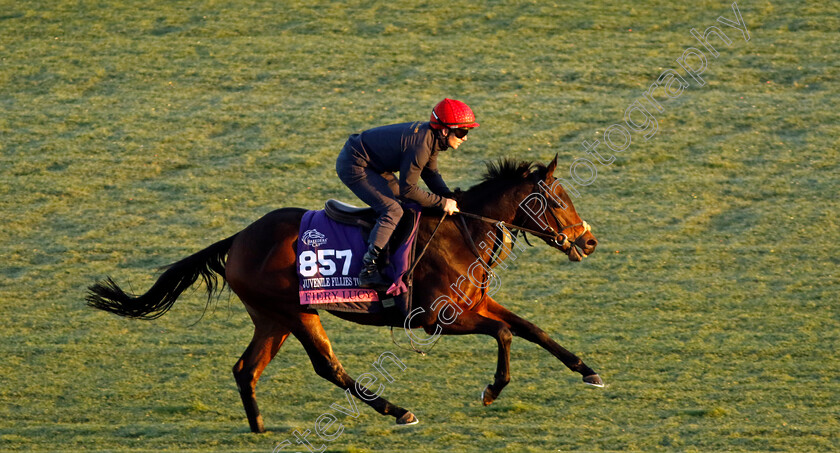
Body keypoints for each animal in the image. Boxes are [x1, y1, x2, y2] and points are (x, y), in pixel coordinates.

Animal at [87, 154, 604, 430]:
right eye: (558, 200)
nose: (588, 241)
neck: (461, 232)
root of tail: (238, 239)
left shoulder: (473, 302)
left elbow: (532, 329)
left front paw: (589, 371)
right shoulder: (437, 318)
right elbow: (505, 334)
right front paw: (492, 389)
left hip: (272, 317)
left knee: (245, 369)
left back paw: (258, 428)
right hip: (296, 313)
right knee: (327, 367)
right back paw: (398, 410)